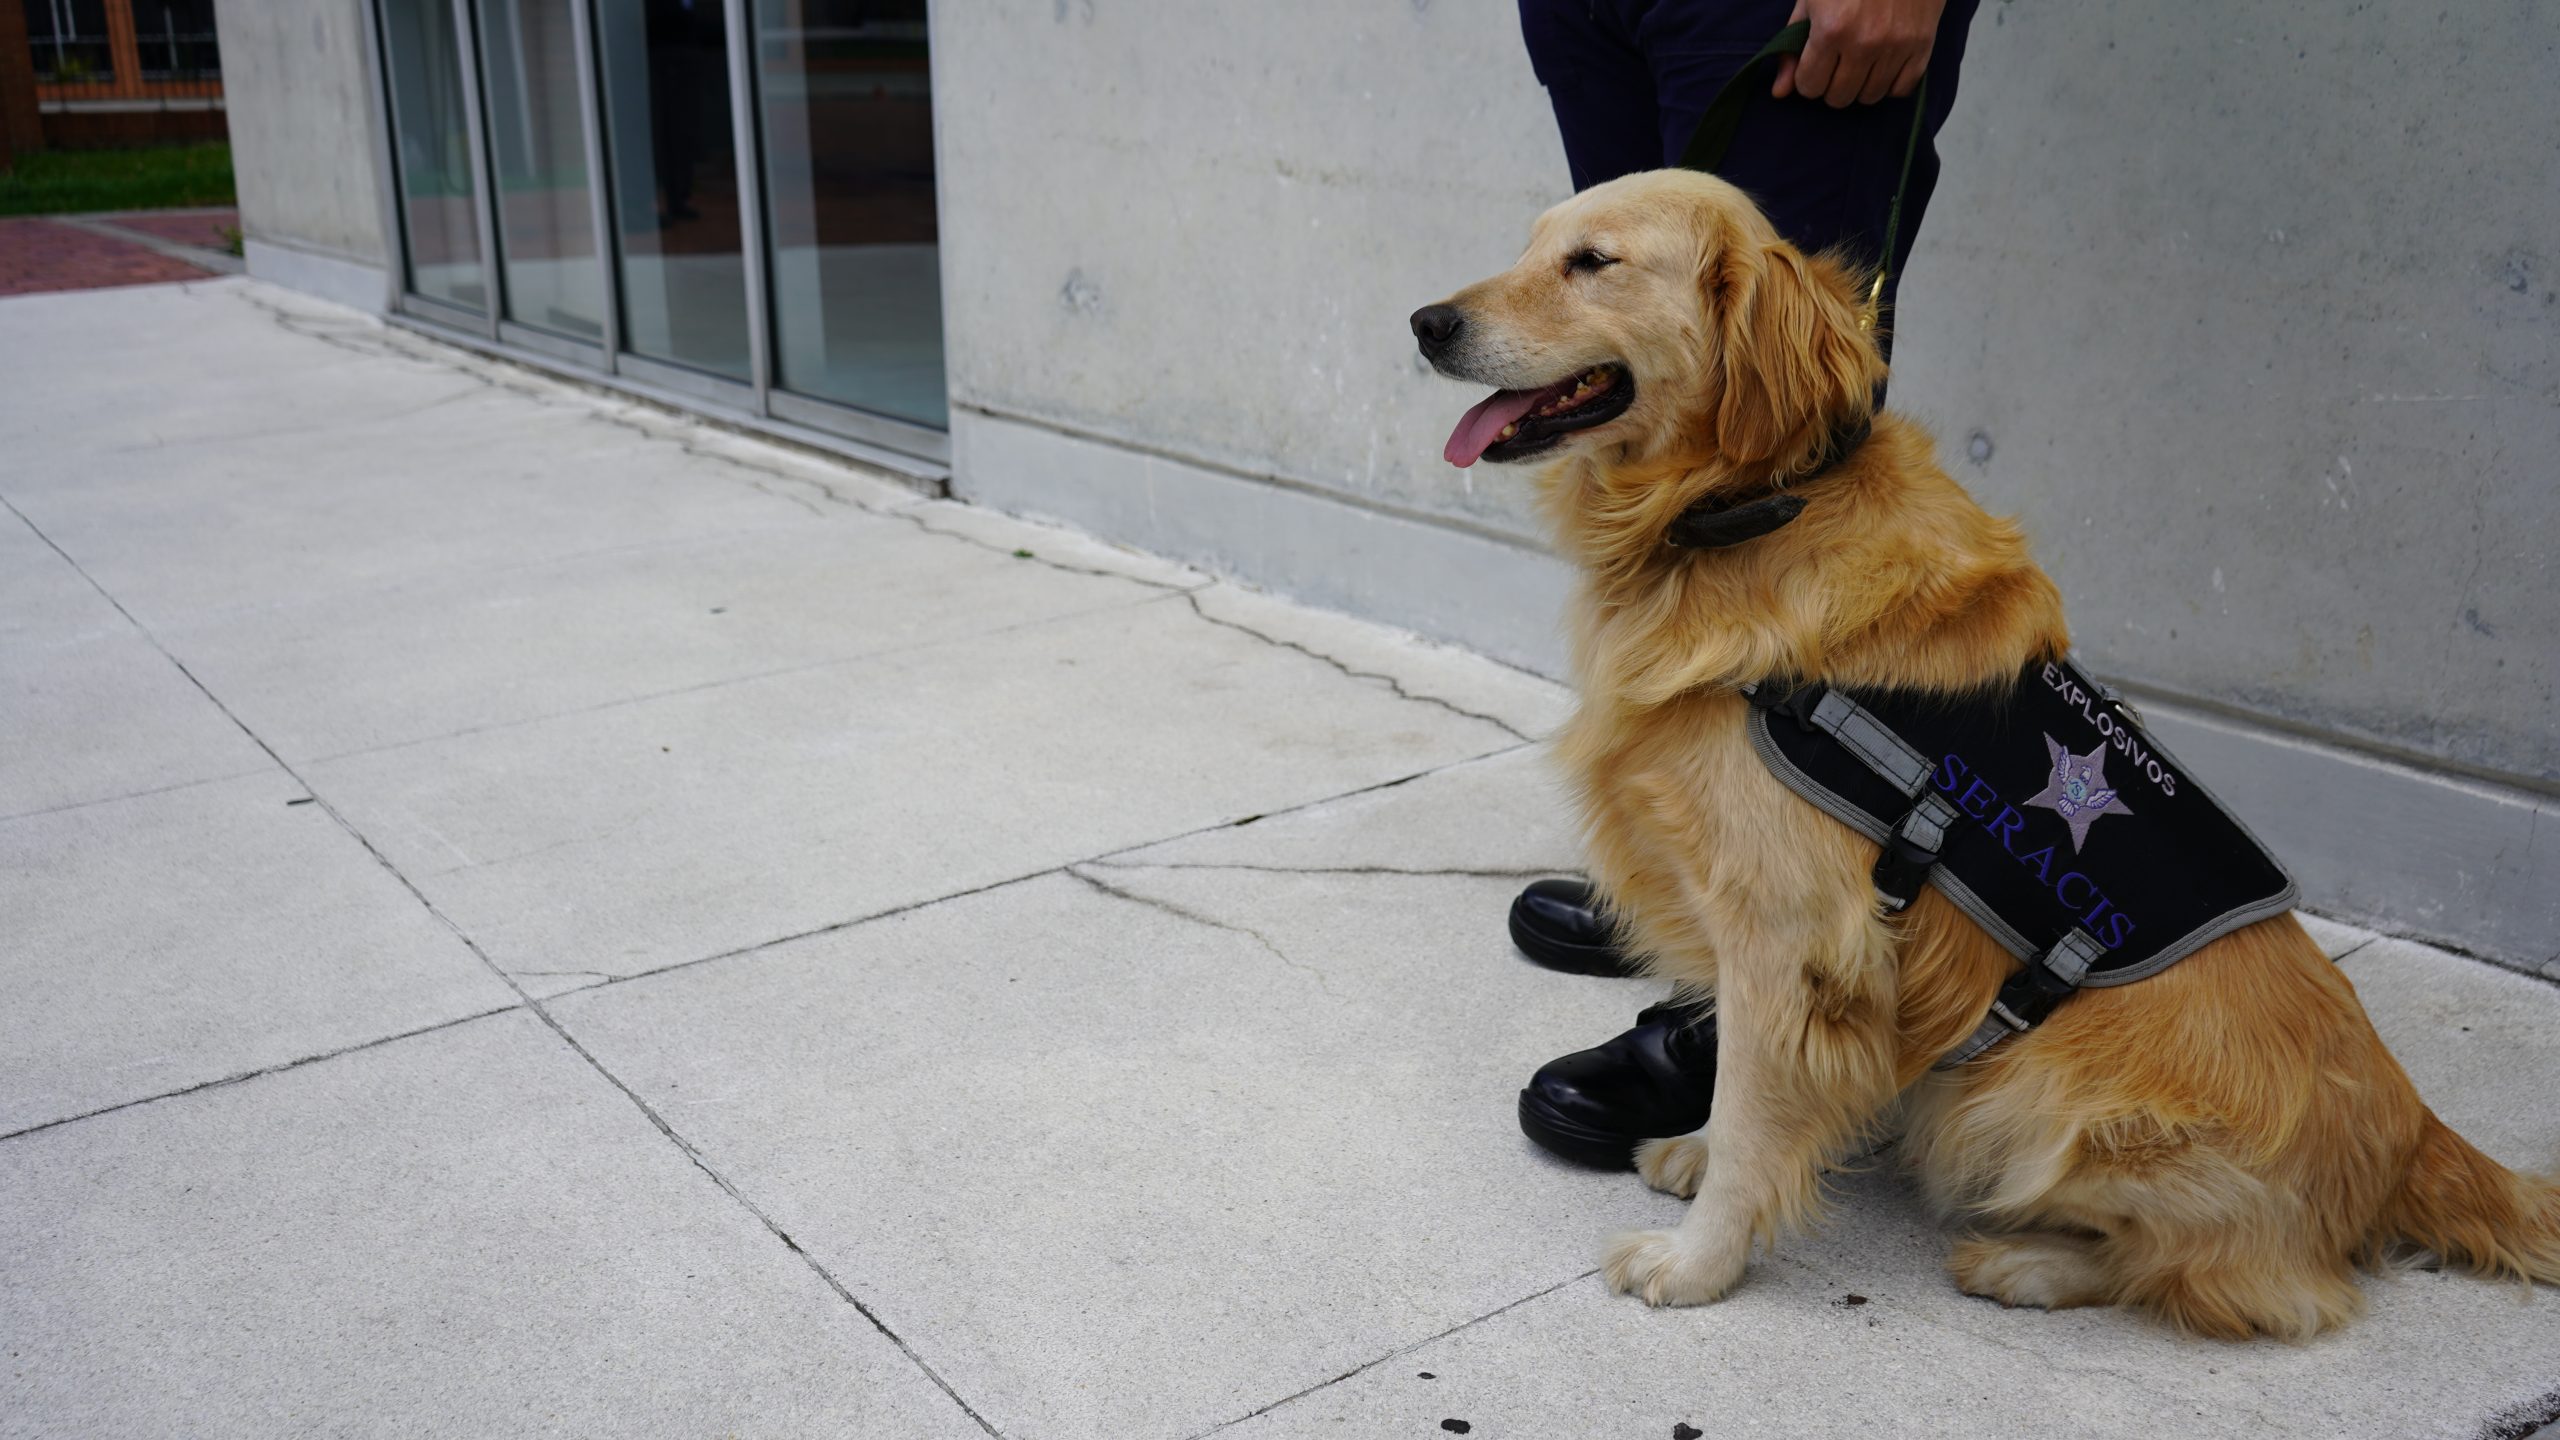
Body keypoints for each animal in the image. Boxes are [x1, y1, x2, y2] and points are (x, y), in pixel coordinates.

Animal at [1423, 167, 2560, 1332]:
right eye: (1533, 247)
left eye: (1592, 262)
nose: (1427, 323)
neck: (1751, 508)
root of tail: (2413, 1137)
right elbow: (1746, 1086)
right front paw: (1696, 1154)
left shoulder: (1791, 934)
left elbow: (1754, 1109)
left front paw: (1697, 1263)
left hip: (2031, 1094)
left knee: (2251, 1283)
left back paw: (2027, 1264)